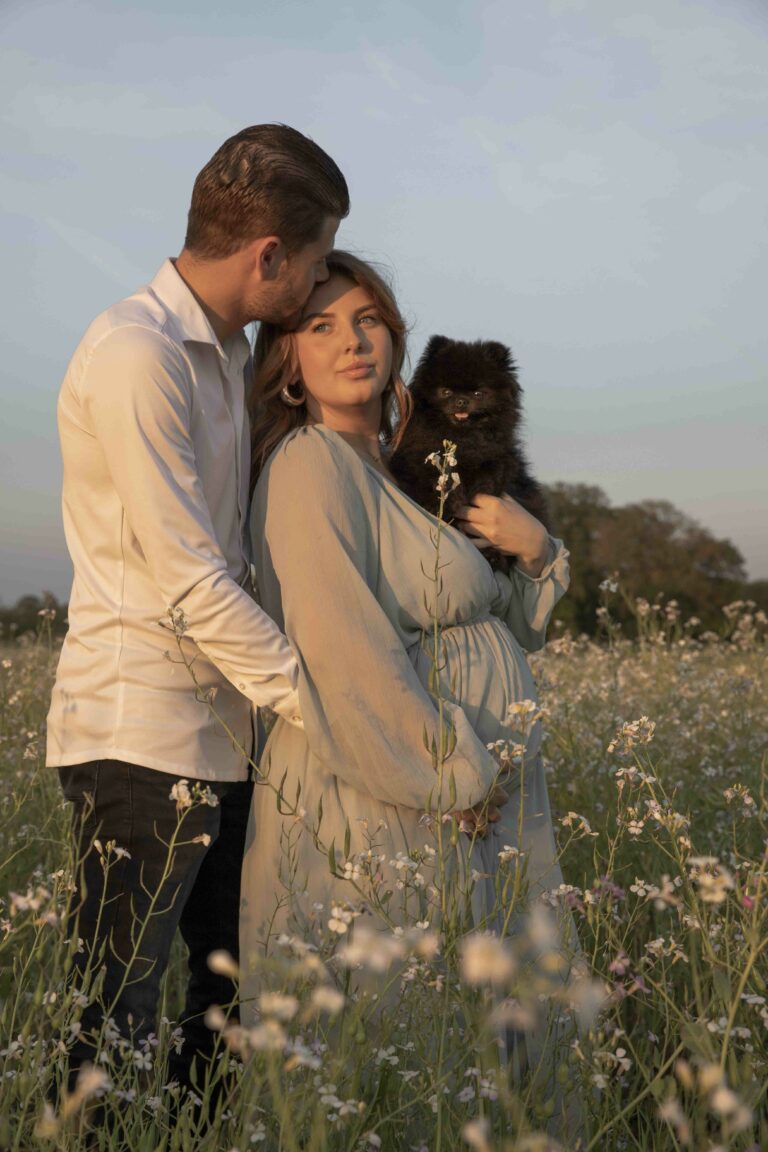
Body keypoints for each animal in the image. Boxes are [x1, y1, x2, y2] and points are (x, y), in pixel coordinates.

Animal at [391, 336, 552, 569]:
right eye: (446, 392)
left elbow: (488, 472)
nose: (461, 401)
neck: (463, 438)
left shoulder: (499, 457)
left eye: (478, 393)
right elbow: (429, 481)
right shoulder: (417, 457)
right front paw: (445, 503)